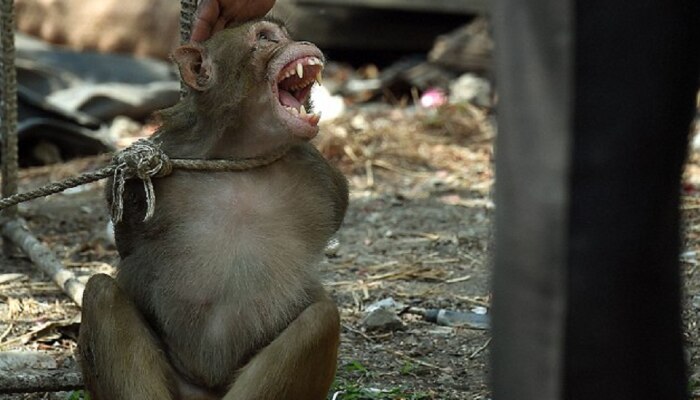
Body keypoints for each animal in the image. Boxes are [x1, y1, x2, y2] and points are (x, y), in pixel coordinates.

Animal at [78, 17, 348, 398]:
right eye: (265, 38)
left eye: (287, 34)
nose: (306, 43)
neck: (240, 155)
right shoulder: (158, 163)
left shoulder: (322, 176)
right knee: (100, 293)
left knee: (321, 318)